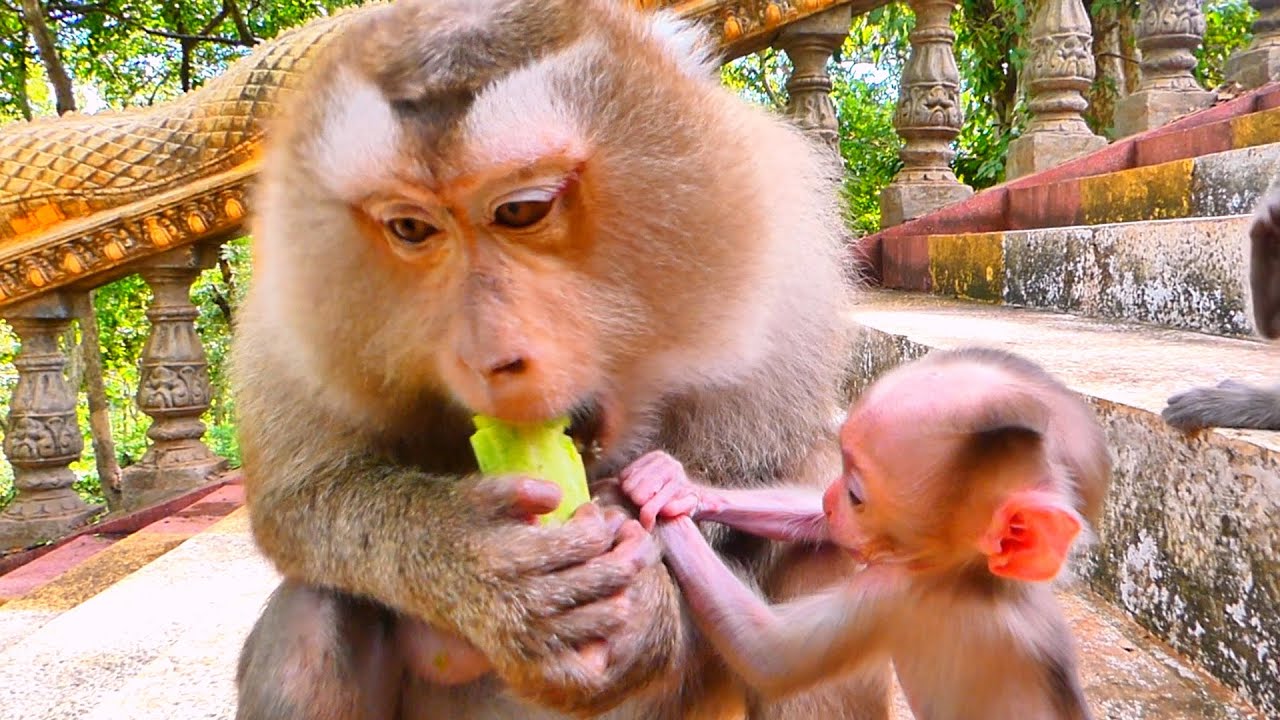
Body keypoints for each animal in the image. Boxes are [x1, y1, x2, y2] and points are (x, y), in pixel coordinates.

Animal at [230, 0, 887, 718]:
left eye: (522, 209)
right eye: (410, 228)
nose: (490, 359)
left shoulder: (778, 261)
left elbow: (797, 462)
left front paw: (647, 565)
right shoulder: (291, 315)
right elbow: (302, 499)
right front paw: (479, 563)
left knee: (817, 560)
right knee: (313, 612)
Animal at [619, 347, 1110, 720]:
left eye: (855, 494)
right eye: (840, 480)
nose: (830, 497)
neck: (977, 579)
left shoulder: (899, 596)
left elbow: (769, 652)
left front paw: (665, 521)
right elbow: (822, 529)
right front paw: (676, 485)